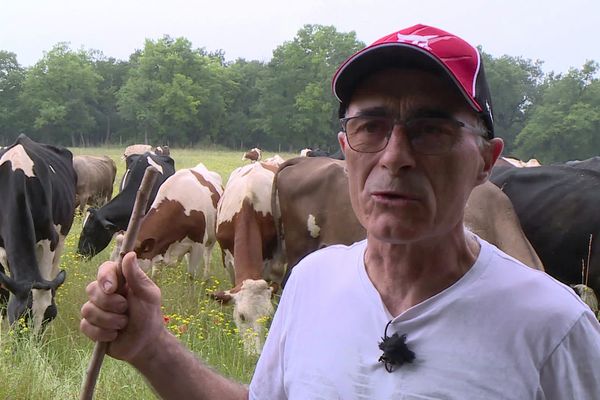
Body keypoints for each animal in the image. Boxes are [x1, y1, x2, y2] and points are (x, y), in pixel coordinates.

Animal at [216, 158, 286, 354]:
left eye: (268, 317)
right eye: (241, 316)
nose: (255, 354)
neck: (248, 202)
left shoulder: (273, 257)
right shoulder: (227, 258)